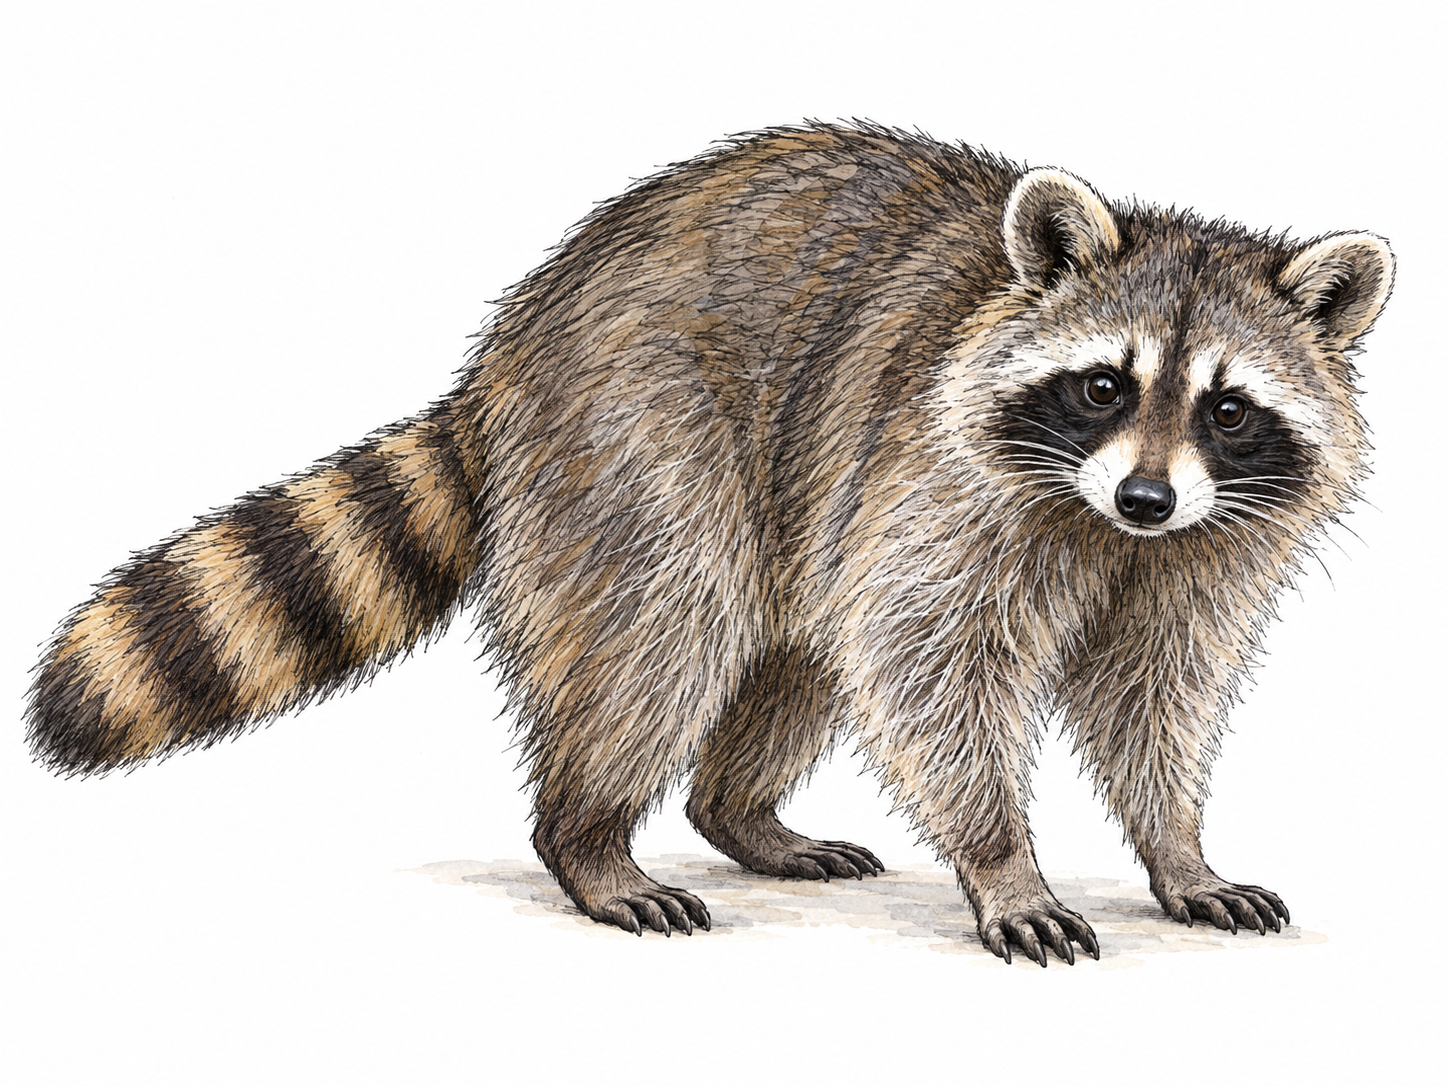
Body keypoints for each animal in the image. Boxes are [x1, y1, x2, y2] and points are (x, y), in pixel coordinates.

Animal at [28, 124, 1393, 966]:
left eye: (1226, 409)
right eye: (1104, 385)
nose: (1147, 501)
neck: (1094, 517)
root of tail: (510, 341)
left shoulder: (1209, 545)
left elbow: (1151, 690)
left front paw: (1176, 847)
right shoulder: (939, 478)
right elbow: (928, 664)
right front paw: (1006, 862)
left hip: (787, 486)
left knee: (792, 653)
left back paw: (738, 811)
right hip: (636, 434)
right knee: (660, 631)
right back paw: (588, 839)